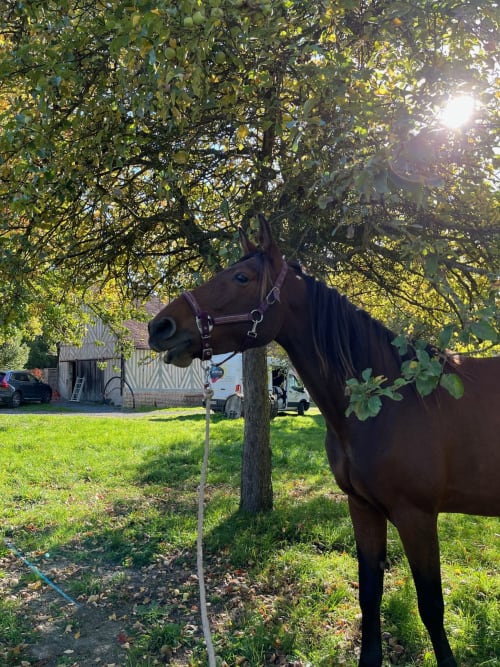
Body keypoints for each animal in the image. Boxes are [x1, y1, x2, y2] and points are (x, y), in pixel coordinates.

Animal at [148, 215, 500, 667]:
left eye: (241, 277)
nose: (161, 326)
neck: (389, 401)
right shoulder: (363, 507)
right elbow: (370, 595)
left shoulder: (417, 516)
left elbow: (431, 606)